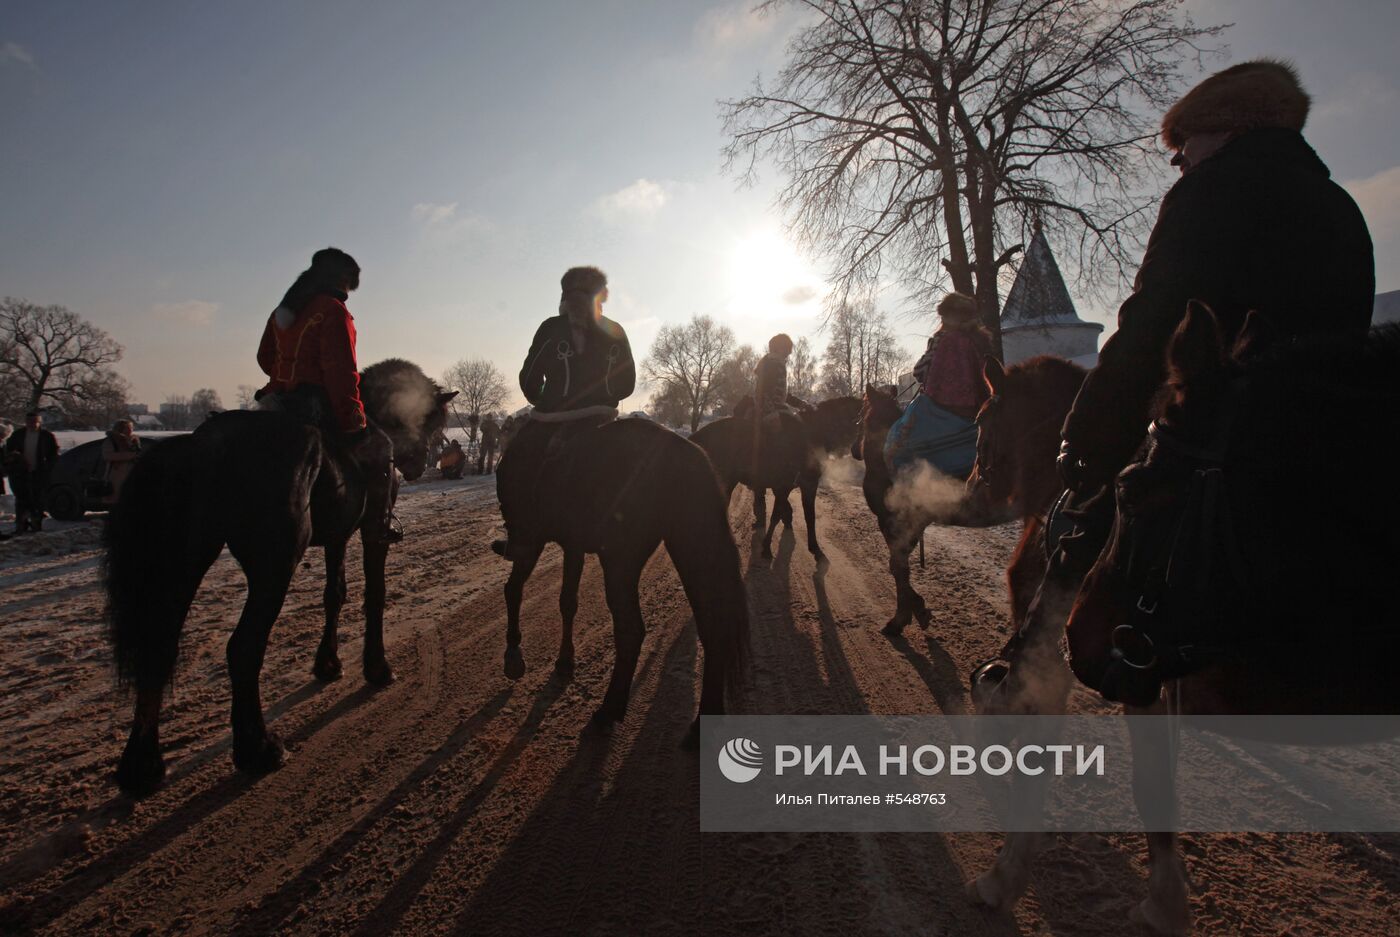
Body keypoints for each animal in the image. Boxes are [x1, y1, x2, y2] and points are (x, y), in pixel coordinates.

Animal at [105, 361, 453, 795]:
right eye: (435, 422)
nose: (420, 464)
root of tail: (203, 445)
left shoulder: (337, 536)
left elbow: (334, 594)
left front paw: (328, 663)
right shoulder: (372, 530)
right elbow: (375, 594)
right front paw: (377, 667)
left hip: (185, 564)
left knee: (159, 647)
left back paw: (143, 766)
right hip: (274, 566)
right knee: (243, 647)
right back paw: (258, 748)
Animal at [498, 414, 750, 739]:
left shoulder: (531, 538)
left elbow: (513, 588)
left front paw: (514, 654)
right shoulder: (572, 544)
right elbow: (568, 601)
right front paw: (565, 660)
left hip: (620, 560)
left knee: (631, 630)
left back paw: (610, 708)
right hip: (689, 545)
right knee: (712, 626)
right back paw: (702, 722)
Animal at [691, 392, 862, 560]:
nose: (857, 452)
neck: (810, 437)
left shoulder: (797, 486)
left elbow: (804, 515)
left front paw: (814, 547)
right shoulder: (795, 486)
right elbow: (780, 515)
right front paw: (767, 547)